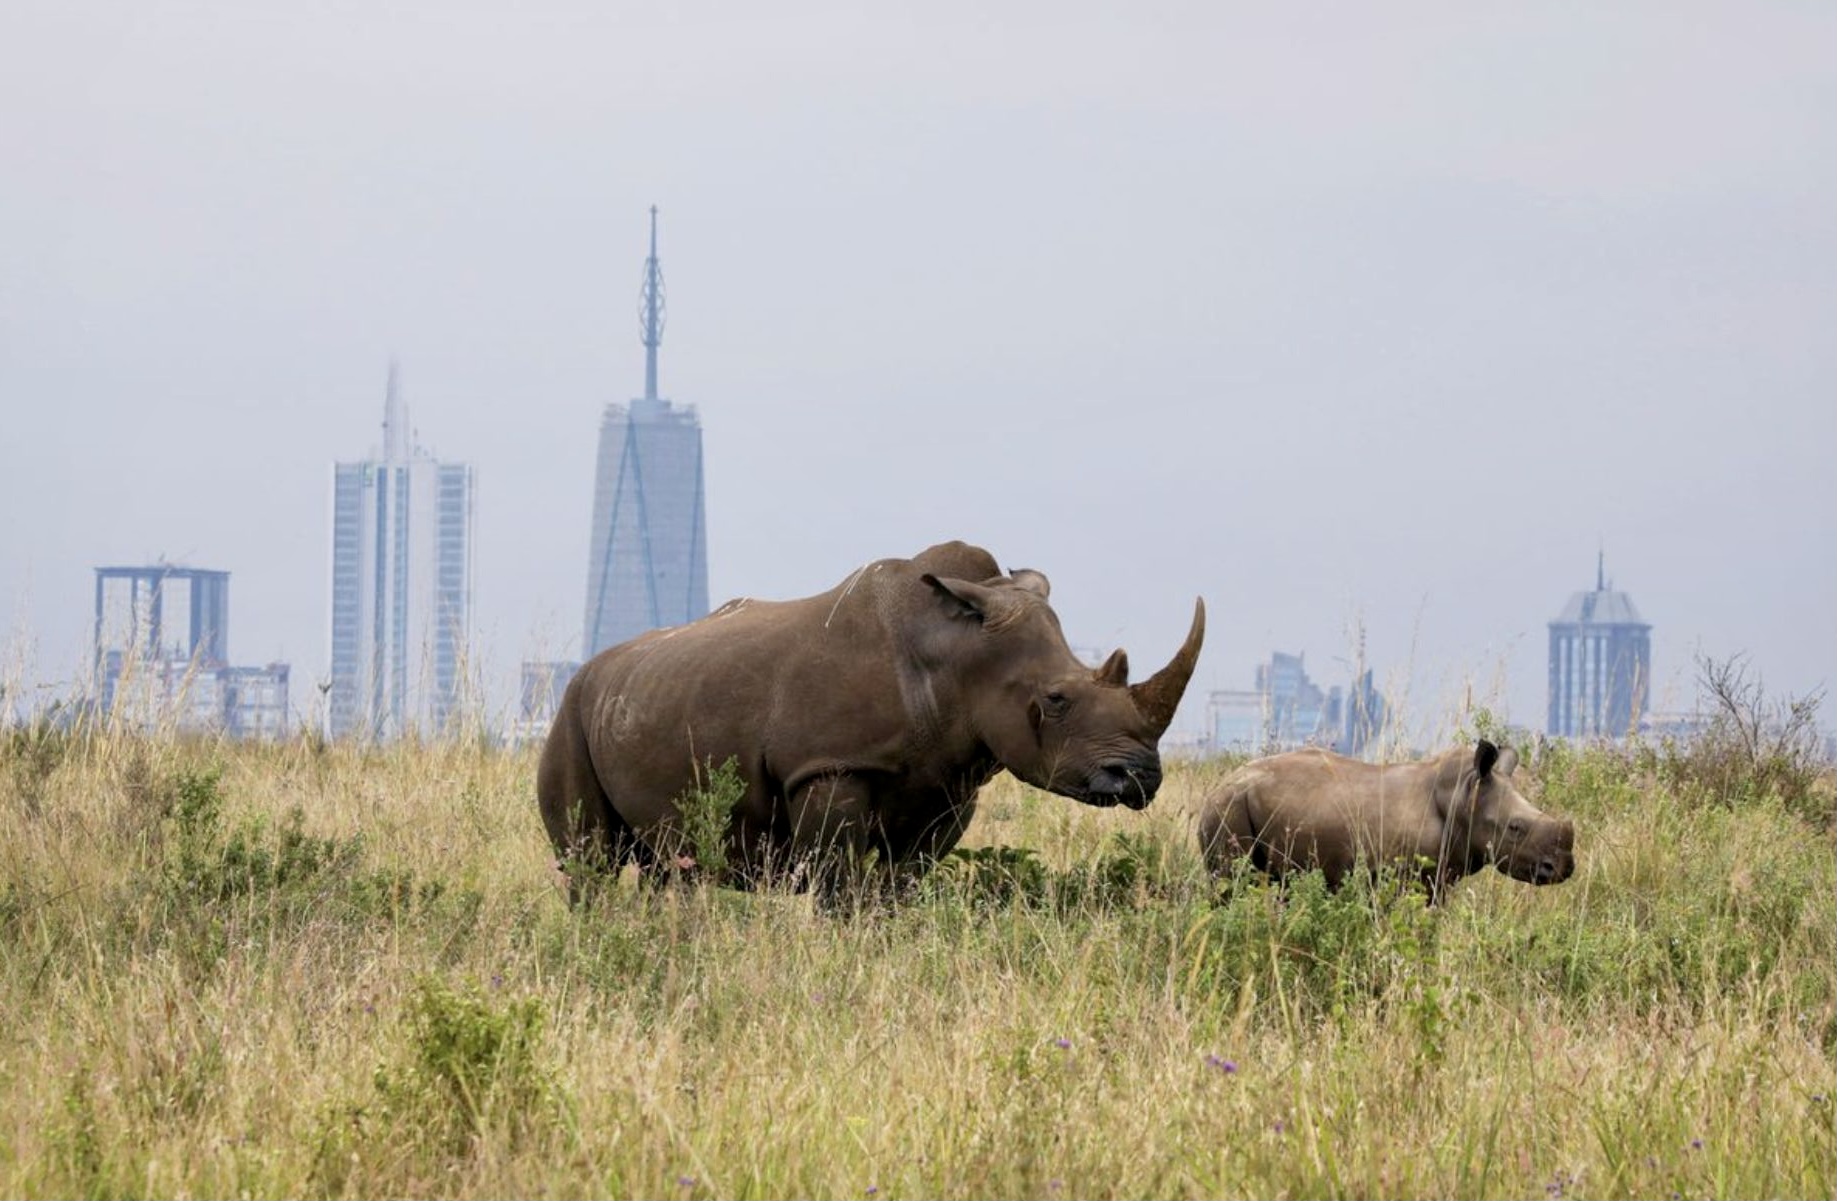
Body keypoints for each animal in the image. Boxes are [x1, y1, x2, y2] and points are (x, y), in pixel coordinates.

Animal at [536, 543, 1205, 903]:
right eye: (1057, 698)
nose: (1141, 778)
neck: (954, 653)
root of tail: (592, 669)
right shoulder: (829, 766)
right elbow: (838, 884)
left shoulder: (949, 783)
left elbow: (900, 883)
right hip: (570, 712)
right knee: (592, 861)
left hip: (640, 698)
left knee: (661, 863)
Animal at [1197, 741, 1572, 903]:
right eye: (1515, 828)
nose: (1564, 868)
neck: (1462, 796)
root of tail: (1221, 783)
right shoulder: (1399, 877)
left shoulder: (1437, 880)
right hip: (1226, 807)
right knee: (1229, 886)